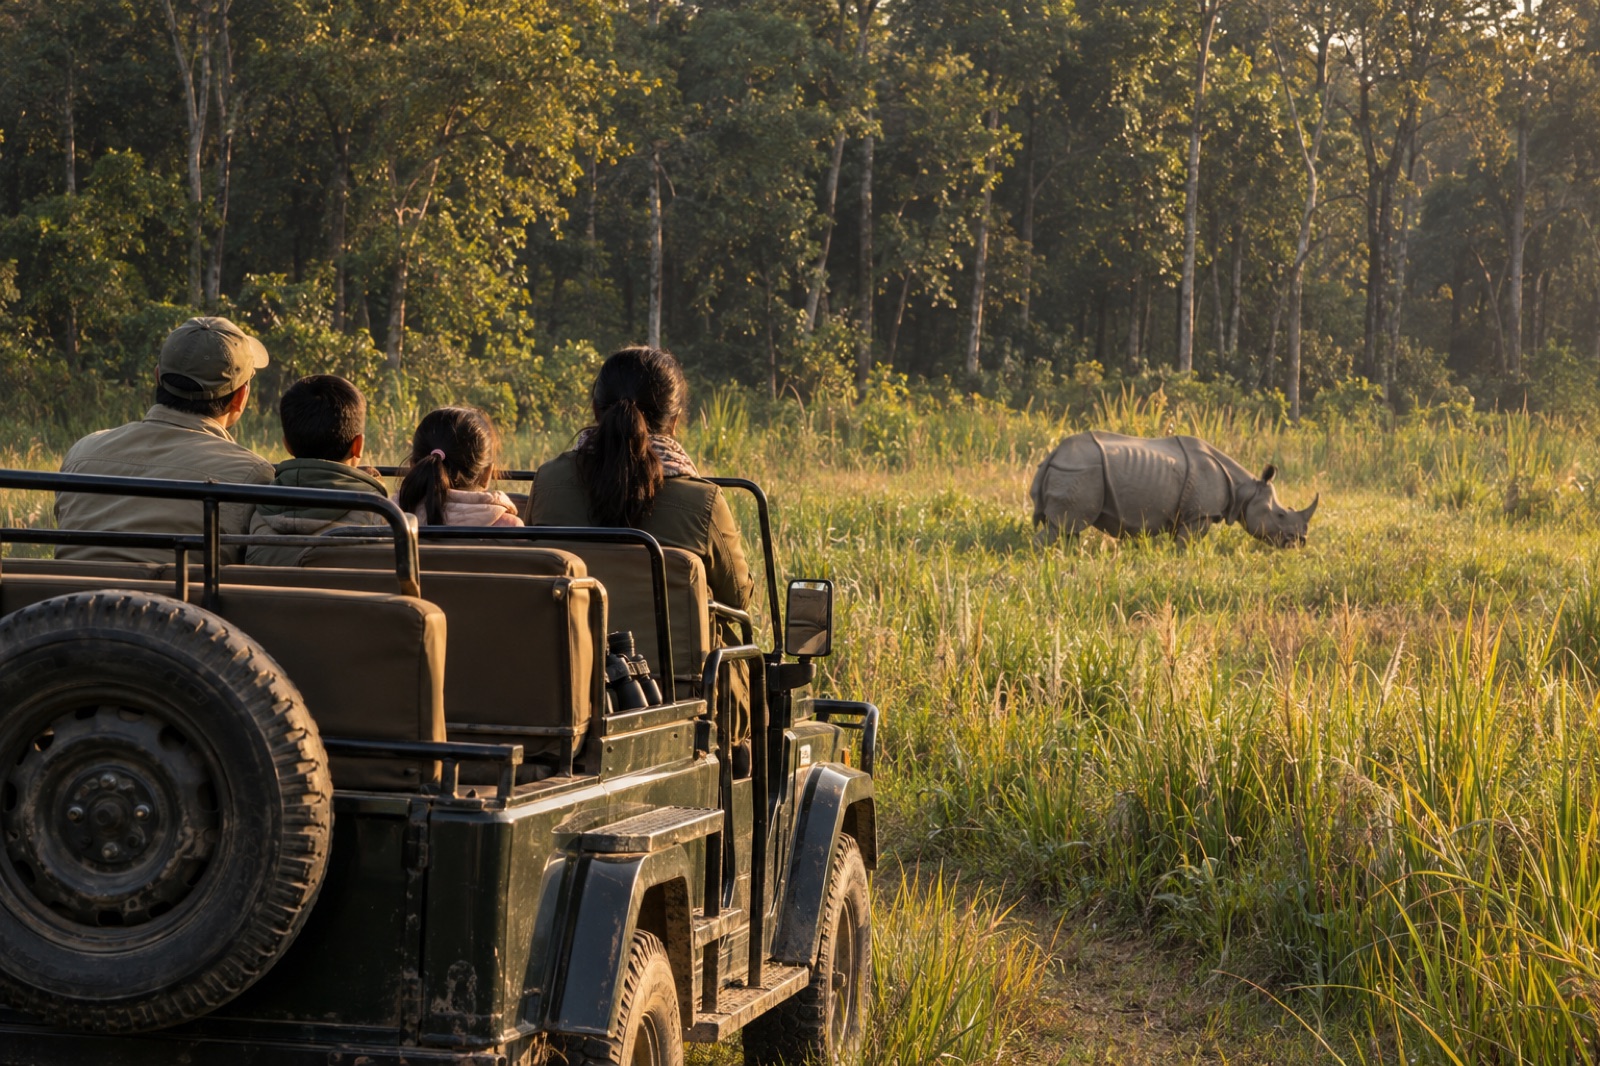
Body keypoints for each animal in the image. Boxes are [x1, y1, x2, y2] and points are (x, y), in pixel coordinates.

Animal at [1029, 431, 1319, 547]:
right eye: (1281, 514)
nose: (1300, 542)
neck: (1245, 490)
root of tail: (1054, 453)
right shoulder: (1199, 515)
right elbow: (1186, 546)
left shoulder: (1185, 515)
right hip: (1079, 472)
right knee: (1061, 527)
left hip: (1076, 473)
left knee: (1068, 529)